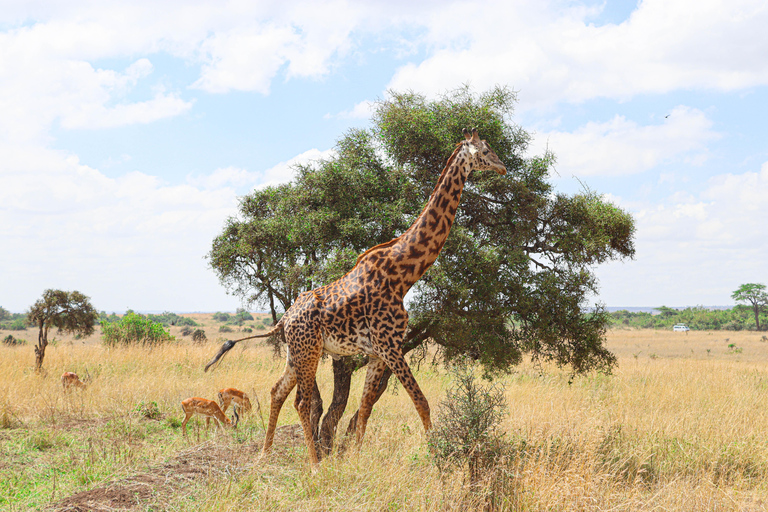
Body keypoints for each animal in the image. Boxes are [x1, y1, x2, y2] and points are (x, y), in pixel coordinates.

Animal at [204, 128, 508, 464]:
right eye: (486, 150)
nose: (503, 168)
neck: (403, 275)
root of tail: (284, 319)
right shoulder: (390, 346)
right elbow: (420, 401)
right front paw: (437, 456)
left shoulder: (377, 352)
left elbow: (364, 409)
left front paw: (357, 459)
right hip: (309, 352)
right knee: (301, 402)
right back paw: (314, 464)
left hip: (295, 353)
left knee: (277, 392)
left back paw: (265, 453)